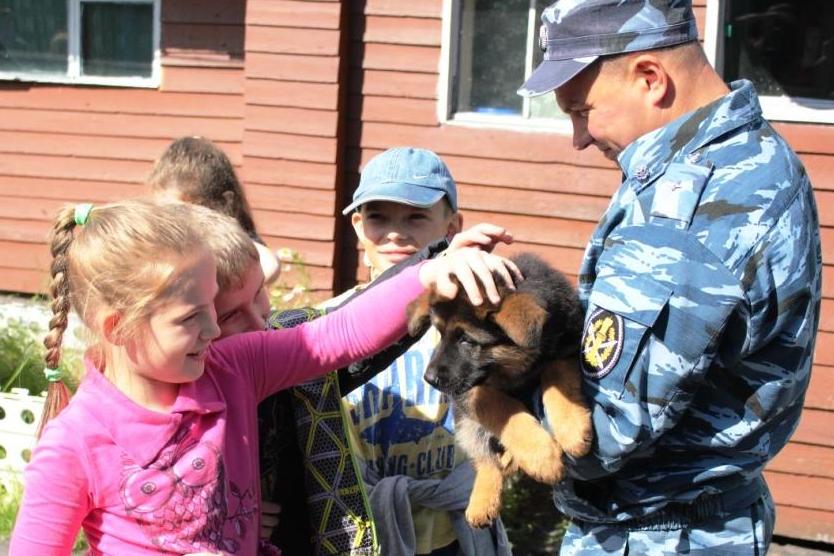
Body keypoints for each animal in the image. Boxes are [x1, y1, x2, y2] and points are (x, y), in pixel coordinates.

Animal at [404, 252, 592, 524]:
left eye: (466, 340)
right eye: (439, 333)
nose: (429, 379)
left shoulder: (566, 347)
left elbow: (557, 378)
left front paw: (572, 430)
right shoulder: (470, 391)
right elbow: (502, 408)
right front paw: (542, 457)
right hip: (466, 425)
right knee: (484, 457)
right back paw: (483, 499)